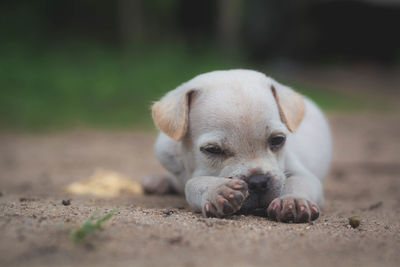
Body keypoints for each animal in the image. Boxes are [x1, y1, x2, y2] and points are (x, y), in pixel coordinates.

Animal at [144, 69, 332, 224]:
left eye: (278, 140)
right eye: (212, 150)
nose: (258, 182)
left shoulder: (300, 172)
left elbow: (299, 181)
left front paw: (293, 200)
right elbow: (191, 183)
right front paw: (217, 190)